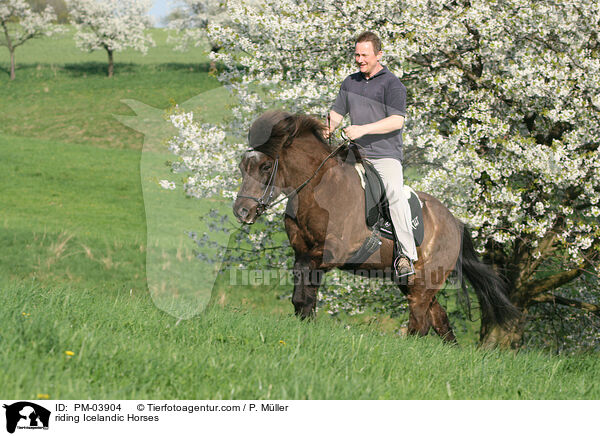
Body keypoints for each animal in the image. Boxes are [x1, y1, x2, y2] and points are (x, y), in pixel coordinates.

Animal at [232, 110, 516, 342]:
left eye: (265, 166)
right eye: (243, 167)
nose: (241, 211)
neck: (319, 190)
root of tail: (455, 223)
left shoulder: (334, 251)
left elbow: (304, 281)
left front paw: (304, 316)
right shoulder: (303, 250)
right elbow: (304, 285)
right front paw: (305, 319)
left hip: (424, 283)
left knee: (420, 322)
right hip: (415, 282)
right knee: (439, 320)